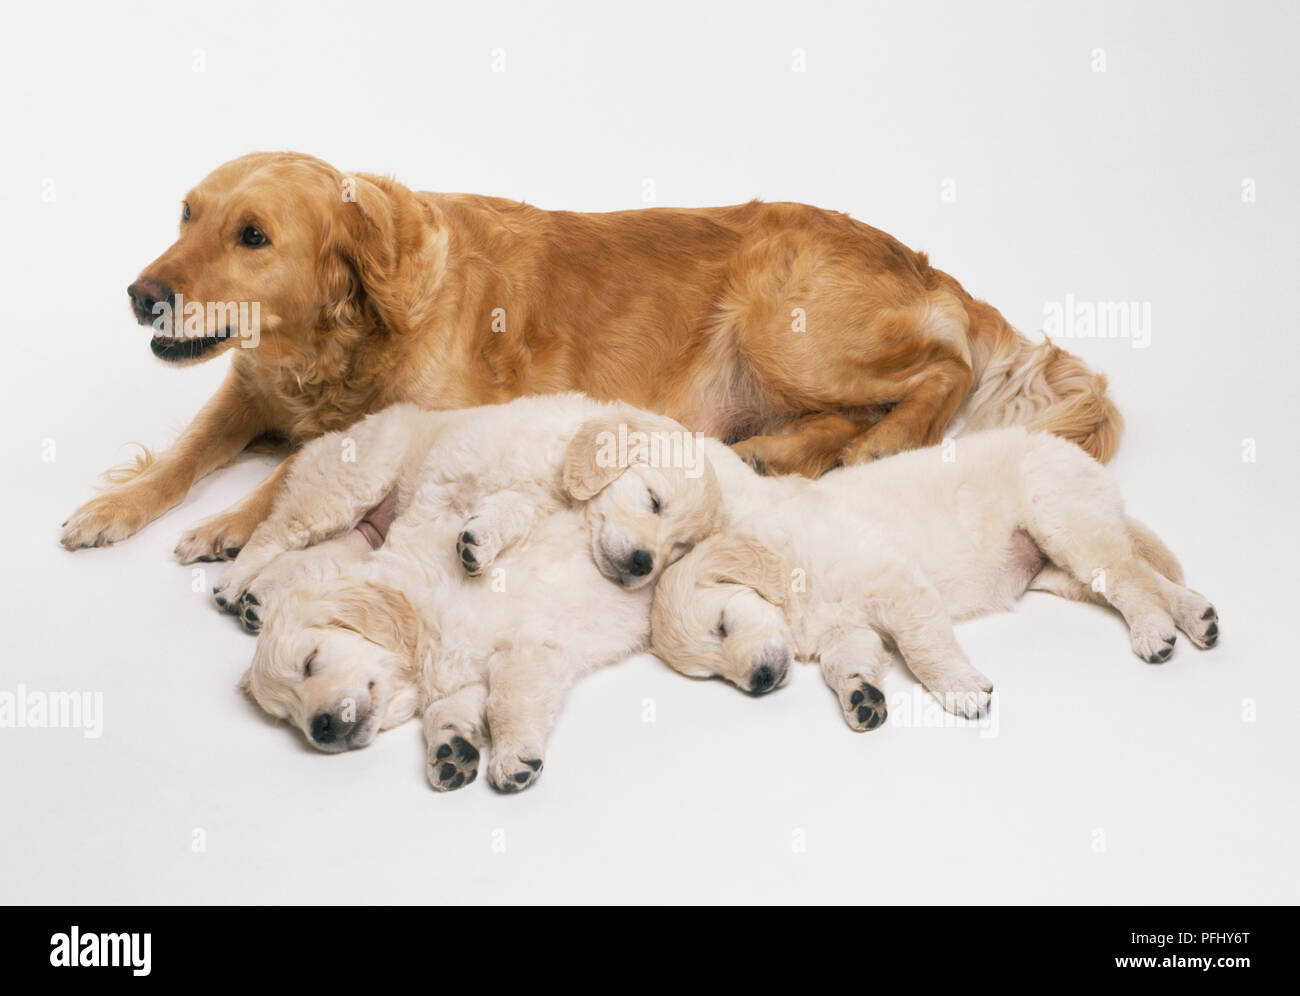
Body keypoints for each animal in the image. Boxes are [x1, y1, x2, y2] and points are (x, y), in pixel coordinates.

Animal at [58, 153, 1118, 566]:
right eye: (185, 213)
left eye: (253, 235)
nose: (141, 295)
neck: (334, 342)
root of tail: (924, 262)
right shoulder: (244, 390)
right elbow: (184, 454)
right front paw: (117, 507)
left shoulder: (418, 417)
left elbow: (290, 471)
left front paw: (228, 523)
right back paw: (783, 451)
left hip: (782, 319)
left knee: (940, 374)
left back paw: (881, 442)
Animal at [650, 429, 1216, 733]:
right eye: (712, 676)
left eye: (723, 626)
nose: (760, 682)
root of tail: (1069, 449)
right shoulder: (845, 630)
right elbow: (844, 663)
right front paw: (860, 697)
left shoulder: (897, 584)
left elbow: (924, 650)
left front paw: (961, 690)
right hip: (1064, 569)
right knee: (1146, 576)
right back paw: (1197, 617)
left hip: (1066, 528)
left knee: (1132, 580)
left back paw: (1154, 632)